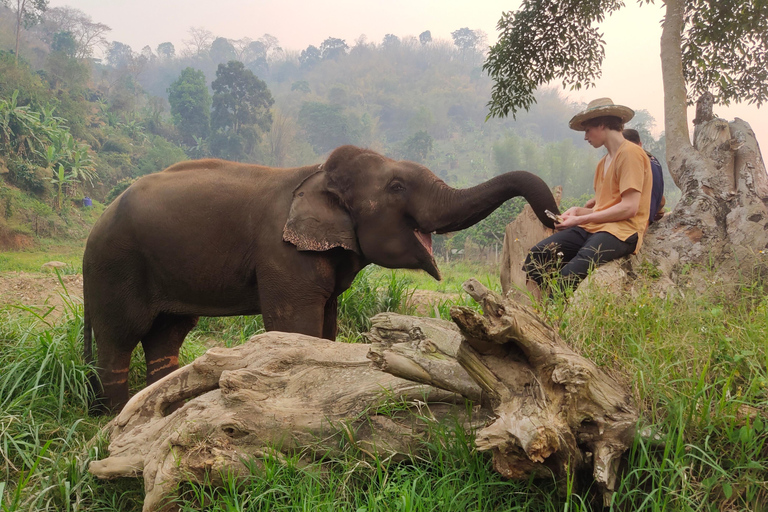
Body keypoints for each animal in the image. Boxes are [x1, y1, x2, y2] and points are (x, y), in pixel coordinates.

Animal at [82, 144, 560, 412]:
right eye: (397, 188)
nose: (554, 219)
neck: (315, 173)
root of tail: (97, 221)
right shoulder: (282, 253)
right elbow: (295, 326)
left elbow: (326, 324)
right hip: (115, 267)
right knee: (120, 337)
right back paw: (114, 416)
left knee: (166, 335)